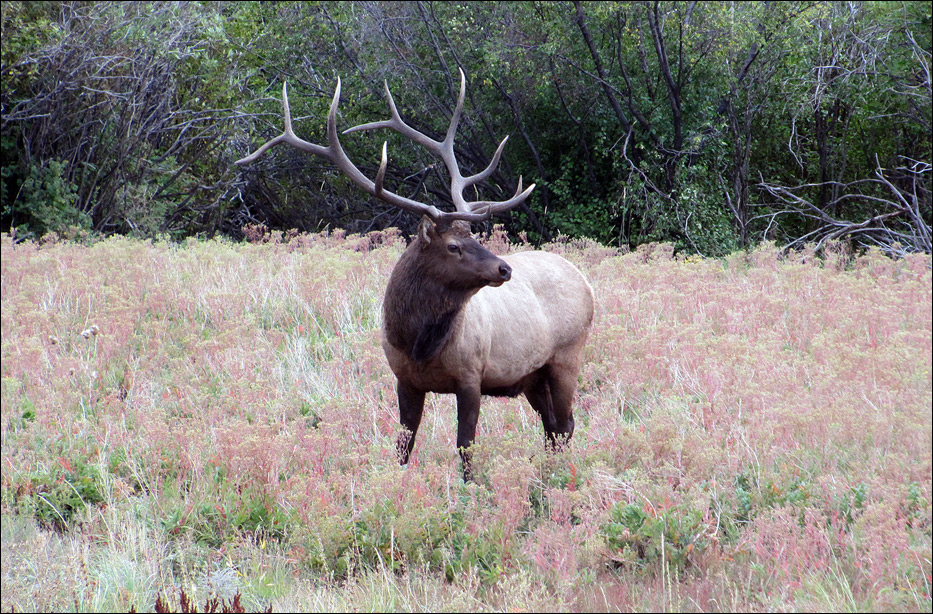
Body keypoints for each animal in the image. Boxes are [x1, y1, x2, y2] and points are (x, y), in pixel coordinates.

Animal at [236, 69, 594, 481]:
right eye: (453, 246)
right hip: (531, 375)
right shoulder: (404, 379)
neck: (418, 344)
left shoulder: (472, 374)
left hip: (567, 354)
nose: (504, 268)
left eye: (474, 236)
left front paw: (472, 489)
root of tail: (587, 284)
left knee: (565, 424)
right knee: (552, 426)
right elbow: (403, 445)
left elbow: (465, 445)